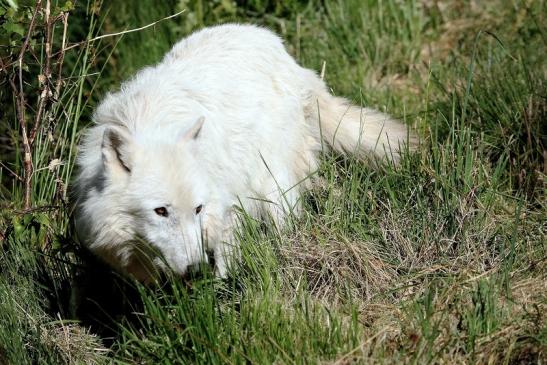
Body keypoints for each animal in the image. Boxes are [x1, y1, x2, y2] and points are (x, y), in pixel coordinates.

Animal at [73, 23, 416, 278]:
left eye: (197, 209)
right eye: (161, 211)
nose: (197, 271)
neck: (152, 125)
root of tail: (281, 51)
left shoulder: (227, 207)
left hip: (273, 185)